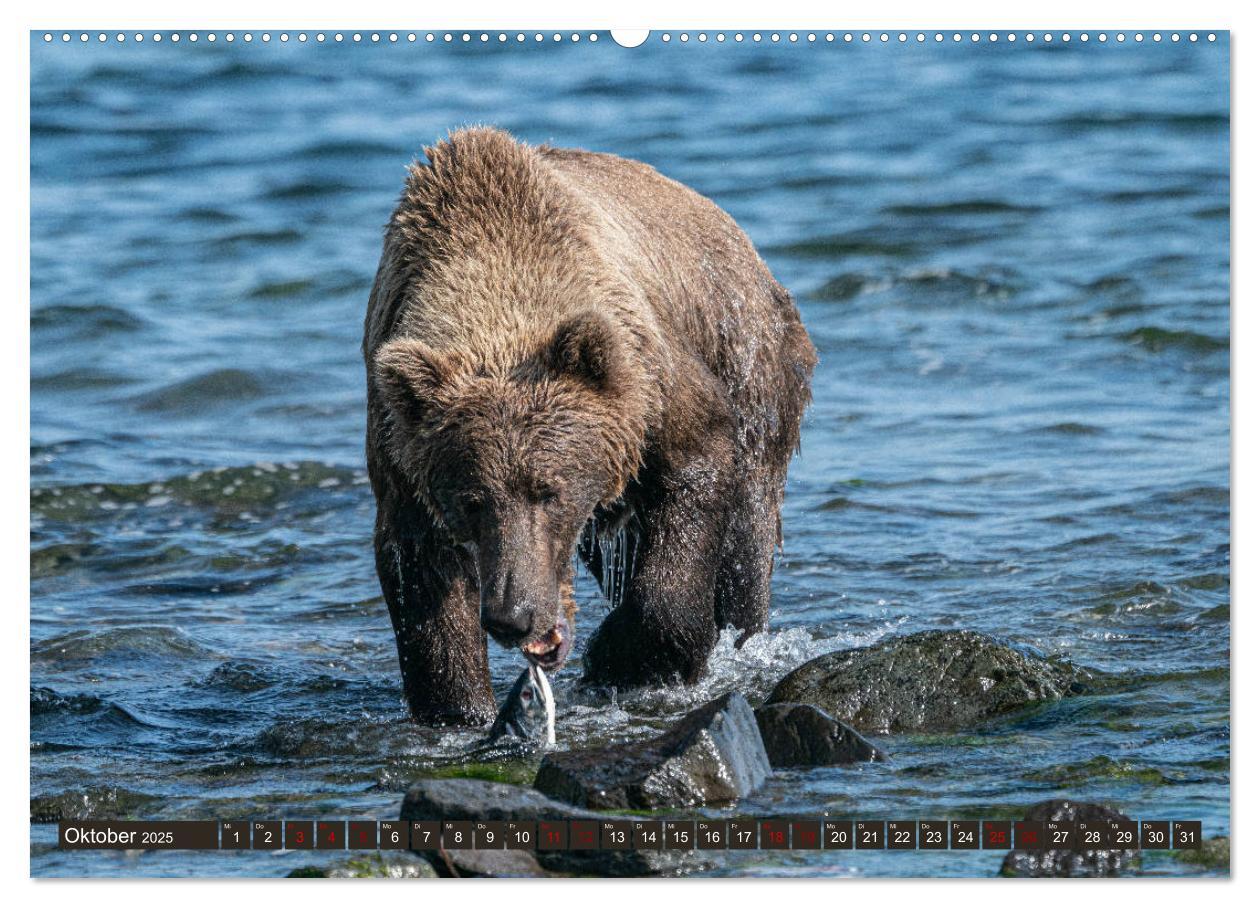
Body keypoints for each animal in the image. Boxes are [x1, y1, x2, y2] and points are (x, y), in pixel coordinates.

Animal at [365, 127, 816, 725]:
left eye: (547, 492)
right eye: (471, 502)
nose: (513, 614)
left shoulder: (647, 379)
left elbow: (697, 465)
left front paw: (624, 656)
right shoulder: (400, 444)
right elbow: (419, 568)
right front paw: (462, 708)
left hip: (751, 356)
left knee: (746, 535)